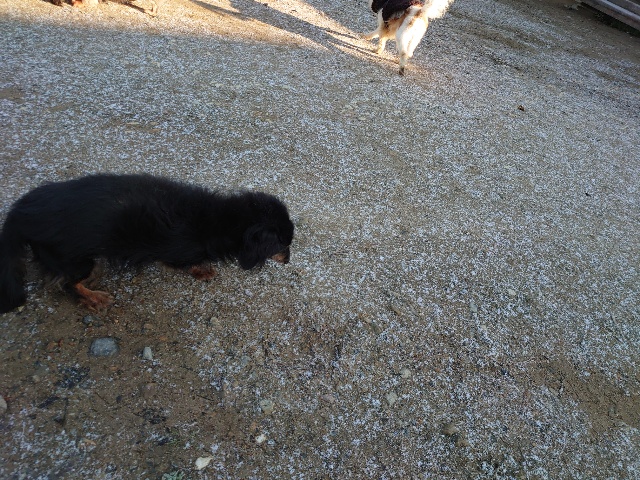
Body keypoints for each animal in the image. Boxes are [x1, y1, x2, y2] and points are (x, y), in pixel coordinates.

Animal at [0, 174, 294, 313]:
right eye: (283, 246)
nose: (289, 262)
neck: (219, 220)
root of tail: (19, 212)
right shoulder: (177, 253)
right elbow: (187, 264)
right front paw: (203, 270)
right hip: (77, 259)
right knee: (67, 284)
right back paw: (93, 297)